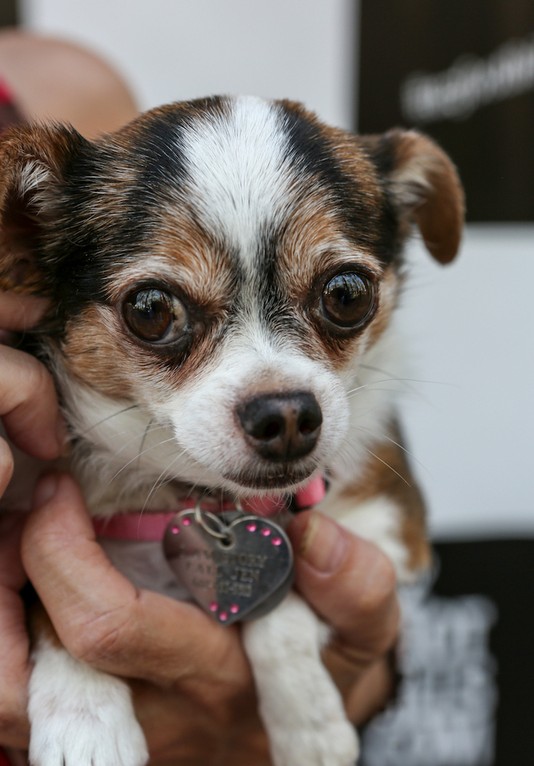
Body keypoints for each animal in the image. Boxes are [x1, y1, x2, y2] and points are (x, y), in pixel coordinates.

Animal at [0, 95, 463, 766]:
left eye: (347, 294)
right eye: (150, 309)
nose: (287, 415)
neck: (209, 500)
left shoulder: (391, 535)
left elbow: (281, 598)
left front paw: (308, 726)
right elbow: (44, 600)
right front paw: (84, 719)